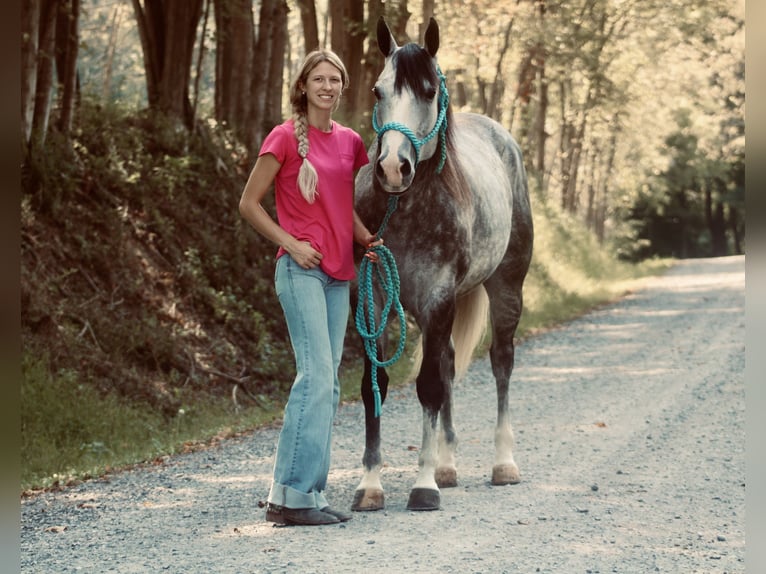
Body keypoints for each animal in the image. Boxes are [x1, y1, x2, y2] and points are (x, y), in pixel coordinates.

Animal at [354, 18, 536, 512]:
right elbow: (375, 386)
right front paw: (371, 485)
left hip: (506, 287)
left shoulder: (438, 298)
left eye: (430, 89)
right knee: (450, 362)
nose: (393, 168)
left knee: (501, 362)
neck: (406, 210)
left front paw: (423, 486)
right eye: (377, 90)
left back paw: (504, 463)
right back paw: (448, 466)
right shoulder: (374, 299)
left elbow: (428, 387)